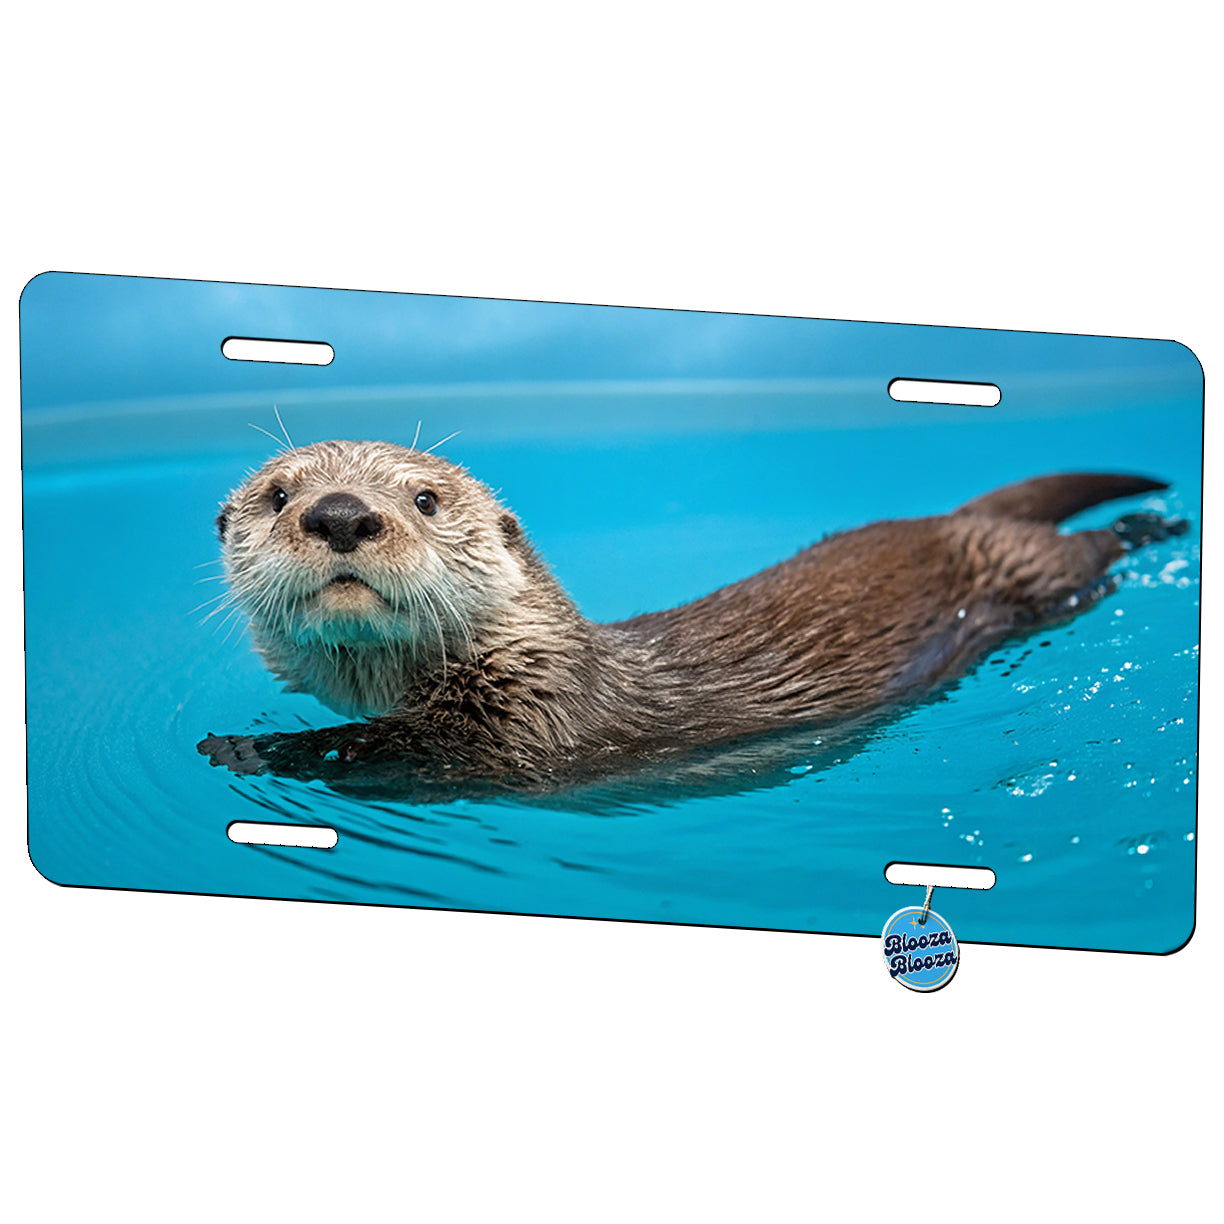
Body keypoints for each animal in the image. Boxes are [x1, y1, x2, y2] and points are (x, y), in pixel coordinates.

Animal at [199, 440, 1185, 794]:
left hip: (1032, 570)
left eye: (426, 498)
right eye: (279, 494)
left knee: (1087, 552)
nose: (339, 514)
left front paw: (249, 747)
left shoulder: (530, 725)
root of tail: (945, 517)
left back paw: (1156, 524)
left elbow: (397, 755)